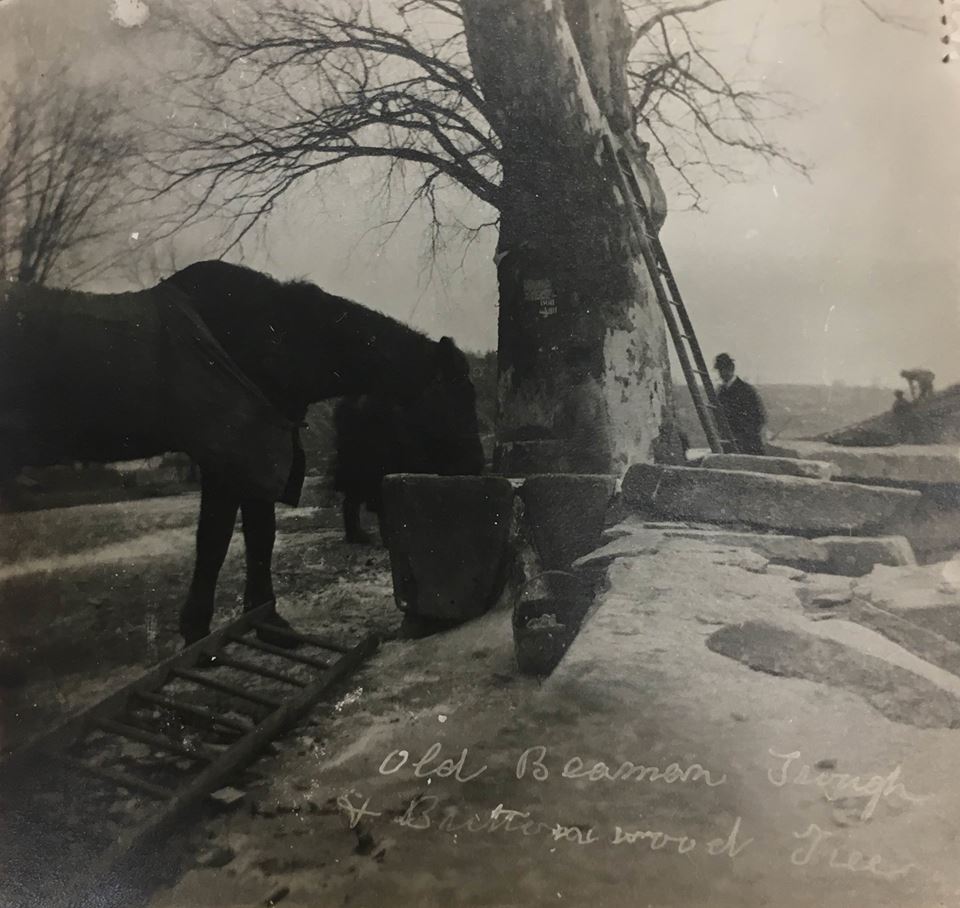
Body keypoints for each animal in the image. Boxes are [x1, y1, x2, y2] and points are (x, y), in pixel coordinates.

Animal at [0, 262, 480, 644]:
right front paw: (224, 626)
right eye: (457, 398)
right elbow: (227, 538)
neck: (276, 337)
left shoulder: (252, 458)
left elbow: (247, 536)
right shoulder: (233, 458)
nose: (475, 466)